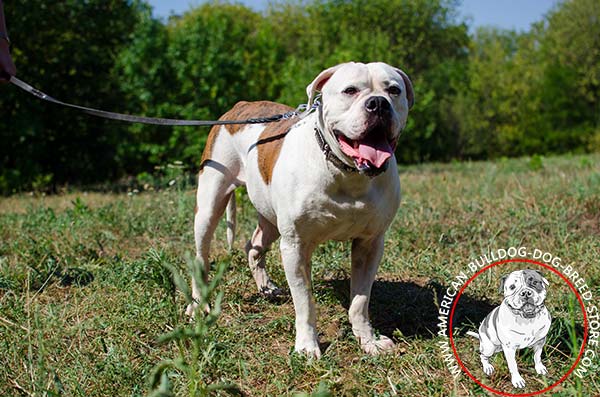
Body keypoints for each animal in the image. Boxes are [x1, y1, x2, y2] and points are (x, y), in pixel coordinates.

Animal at [188, 61, 412, 356]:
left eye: (394, 90)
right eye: (350, 90)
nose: (378, 104)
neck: (346, 172)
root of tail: (240, 105)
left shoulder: (370, 243)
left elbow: (360, 300)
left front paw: (368, 340)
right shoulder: (295, 246)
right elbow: (305, 301)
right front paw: (307, 346)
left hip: (270, 217)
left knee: (254, 245)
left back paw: (266, 287)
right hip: (209, 204)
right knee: (201, 256)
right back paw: (197, 305)